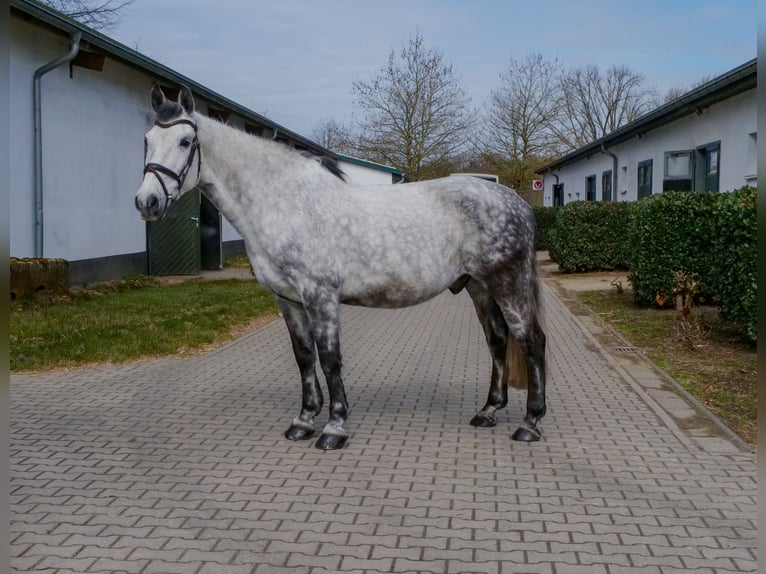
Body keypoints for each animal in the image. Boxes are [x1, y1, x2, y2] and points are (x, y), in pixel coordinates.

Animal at [135, 85, 546, 450]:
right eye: (146, 140)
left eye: (185, 142)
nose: (147, 202)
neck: (286, 203)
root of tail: (516, 201)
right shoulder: (288, 300)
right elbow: (304, 357)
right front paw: (303, 421)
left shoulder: (321, 296)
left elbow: (330, 359)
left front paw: (334, 428)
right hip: (479, 286)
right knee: (498, 340)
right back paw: (488, 412)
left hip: (507, 283)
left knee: (532, 340)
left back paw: (530, 424)